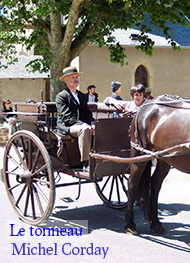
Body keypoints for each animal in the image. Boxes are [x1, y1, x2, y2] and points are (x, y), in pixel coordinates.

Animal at [124, 95, 190, 235]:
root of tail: (144, 105)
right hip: (139, 153)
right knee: (132, 183)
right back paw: (130, 224)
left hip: (165, 158)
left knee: (155, 183)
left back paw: (155, 223)